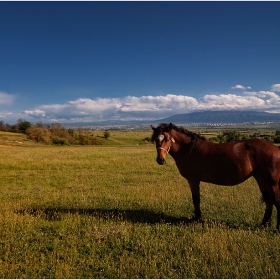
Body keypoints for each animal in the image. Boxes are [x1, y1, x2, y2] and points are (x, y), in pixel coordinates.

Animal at [151, 122, 280, 230]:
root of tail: (276, 148)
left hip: (271, 183)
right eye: (156, 139)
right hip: (261, 179)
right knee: (269, 201)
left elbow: (196, 199)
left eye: (167, 139)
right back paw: (264, 224)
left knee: (276, 201)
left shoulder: (193, 180)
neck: (189, 149)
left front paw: (197, 218)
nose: (160, 160)